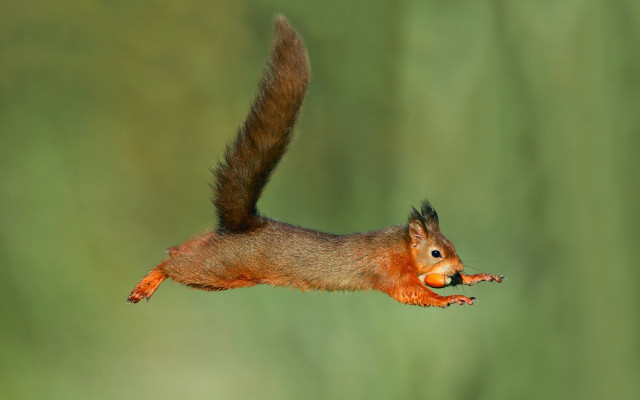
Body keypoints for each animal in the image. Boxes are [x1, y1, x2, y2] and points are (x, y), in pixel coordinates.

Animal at [127, 16, 502, 308]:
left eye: (451, 246)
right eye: (436, 253)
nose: (456, 266)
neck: (399, 247)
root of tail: (244, 226)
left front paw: (474, 277)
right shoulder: (387, 272)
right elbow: (413, 294)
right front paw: (452, 296)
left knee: (194, 244)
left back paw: (176, 247)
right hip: (221, 268)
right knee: (176, 267)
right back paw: (150, 280)